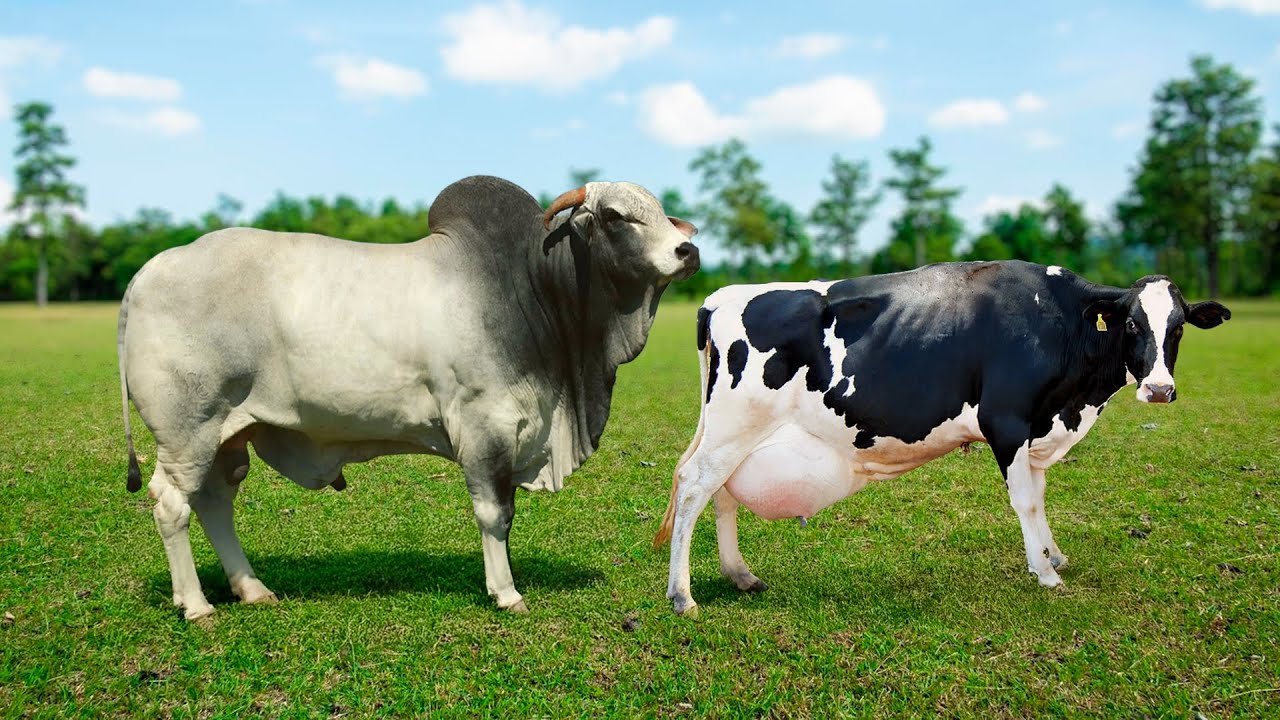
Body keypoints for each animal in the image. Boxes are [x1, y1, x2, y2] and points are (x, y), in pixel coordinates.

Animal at [118, 175, 699, 620]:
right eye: (617, 216)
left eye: (663, 213)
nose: (688, 250)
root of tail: (147, 271)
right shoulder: (485, 427)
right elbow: (495, 514)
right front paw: (506, 592)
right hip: (188, 433)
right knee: (171, 505)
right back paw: (196, 605)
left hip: (228, 436)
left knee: (215, 503)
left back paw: (252, 588)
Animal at [654, 261, 1230, 617]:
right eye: (1131, 325)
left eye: (1178, 327)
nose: (1159, 389)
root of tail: (722, 297)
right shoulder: (1006, 420)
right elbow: (1025, 501)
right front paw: (1045, 574)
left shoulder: (1037, 428)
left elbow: (1041, 498)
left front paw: (1053, 555)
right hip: (735, 423)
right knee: (695, 486)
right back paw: (682, 595)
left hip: (738, 435)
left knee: (721, 492)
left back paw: (740, 575)